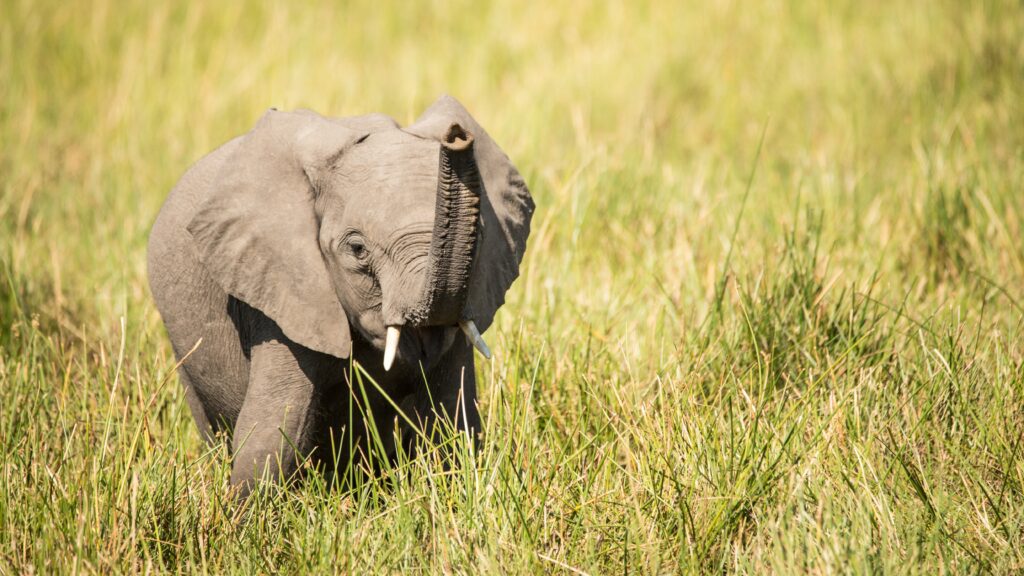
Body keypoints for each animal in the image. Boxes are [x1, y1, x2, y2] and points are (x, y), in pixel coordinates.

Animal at [147, 95, 533, 498]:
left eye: (479, 235)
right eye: (357, 249)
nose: (457, 136)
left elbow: (453, 422)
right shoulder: (279, 289)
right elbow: (275, 429)